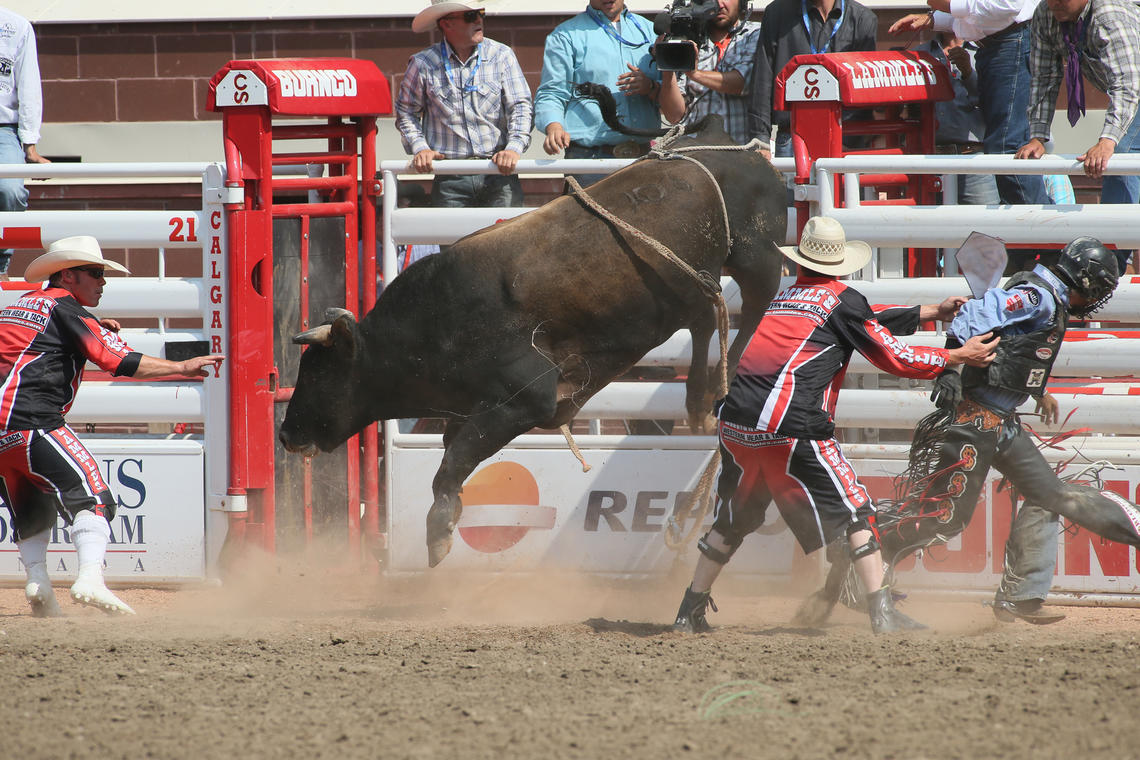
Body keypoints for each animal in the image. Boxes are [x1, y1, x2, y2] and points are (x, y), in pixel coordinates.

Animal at [280, 116, 788, 567]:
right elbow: (453, 458)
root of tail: (725, 138)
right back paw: (699, 399)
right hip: (691, 284)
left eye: (321, 373)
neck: (435, 321)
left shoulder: (526, 398)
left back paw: (723, 381)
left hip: (753, 252)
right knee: (705, 317)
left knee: (756, 300)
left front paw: (439, 534)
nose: (286, 434)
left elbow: (454, 462)